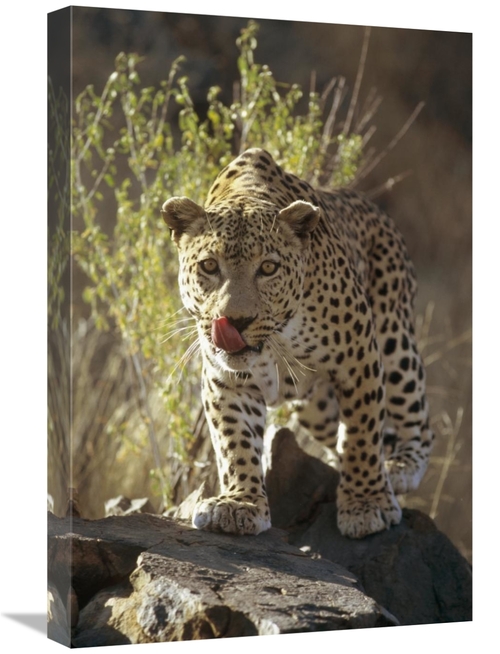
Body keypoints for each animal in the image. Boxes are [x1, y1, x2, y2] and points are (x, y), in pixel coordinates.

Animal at [161, 147, 434, 540]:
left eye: (269, 268)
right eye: (209, 266)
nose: (235, 321)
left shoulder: (358, 355)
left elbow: (363, 432)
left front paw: (366, 504)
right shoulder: (225, 378)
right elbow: (235, 441)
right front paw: (240, 504)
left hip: (396, 342)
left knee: (415, 418)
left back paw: (399, 468)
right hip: (315, 406)